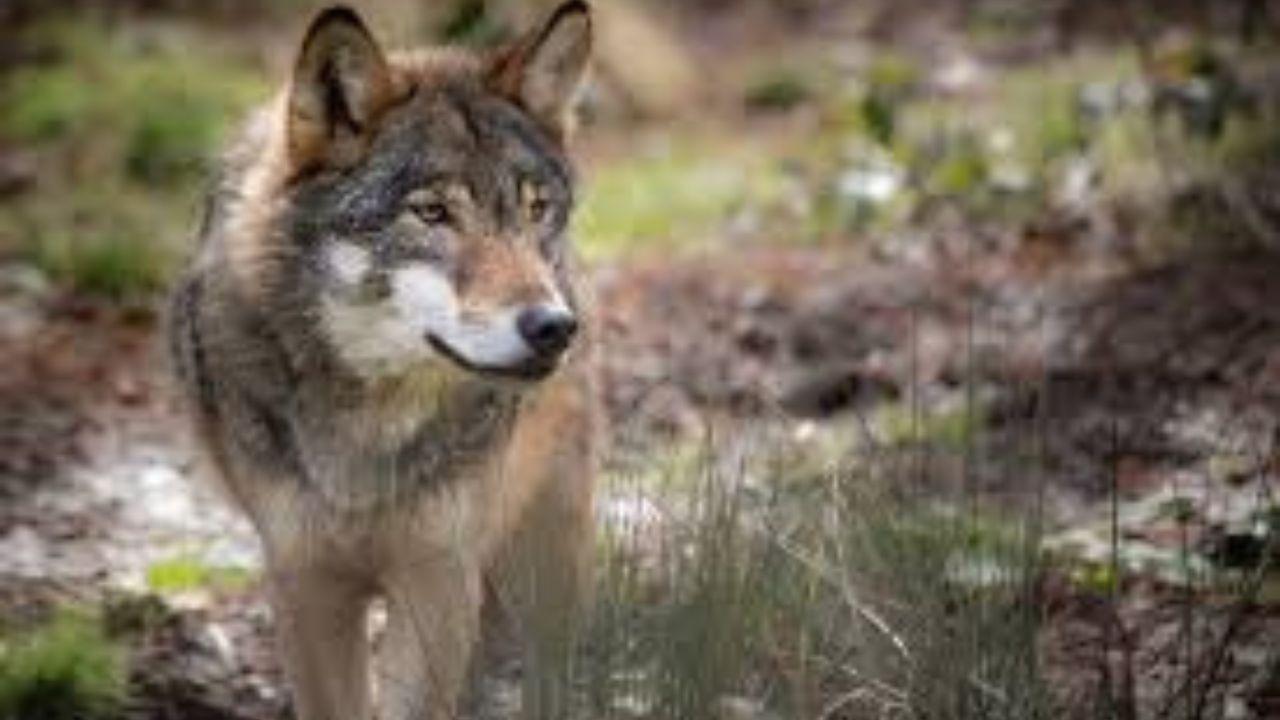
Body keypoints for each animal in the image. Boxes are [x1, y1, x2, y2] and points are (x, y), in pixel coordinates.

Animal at [166, 4, 598, 719]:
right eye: (432, 212)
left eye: (536, 208)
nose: (554, 328)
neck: (367, 429)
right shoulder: (306, 582)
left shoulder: (436, 575)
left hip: (542, 551)